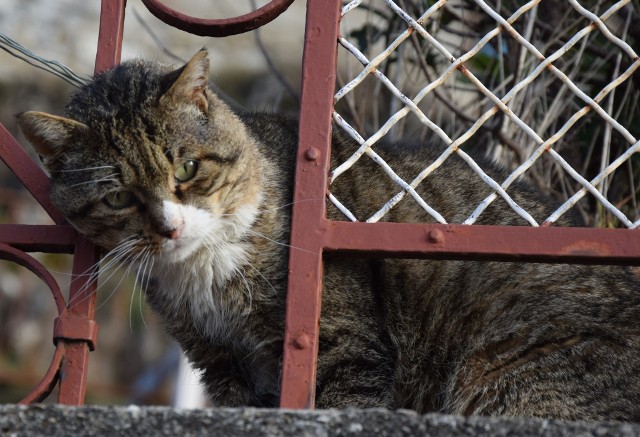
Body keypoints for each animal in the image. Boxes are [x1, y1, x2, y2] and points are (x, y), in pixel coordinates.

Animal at [17, 48, 636, 418]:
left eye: (187, 168)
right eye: (119, 197)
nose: (169, 228)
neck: (205, 275)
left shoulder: (340, 340)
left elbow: (342, 395)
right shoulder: (220, 362)